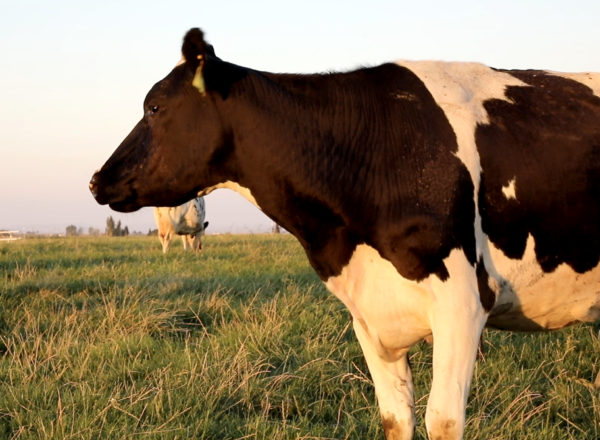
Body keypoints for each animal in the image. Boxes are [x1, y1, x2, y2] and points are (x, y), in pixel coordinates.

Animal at [90, 28, 600, 440]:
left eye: (155, 106)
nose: (97, 180)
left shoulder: (463, 304)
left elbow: (442, 420)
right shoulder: (370, 316)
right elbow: (396, 418)